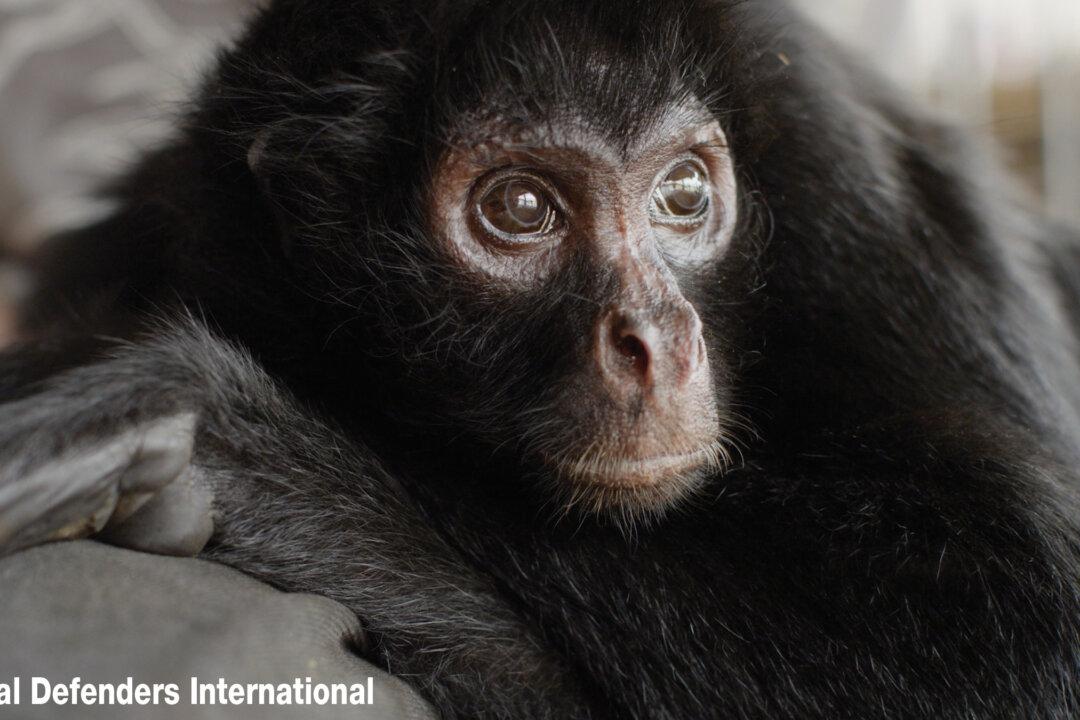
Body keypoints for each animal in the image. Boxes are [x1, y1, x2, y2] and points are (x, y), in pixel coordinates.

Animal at [1, 0, 1079, 718]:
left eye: (685, 193)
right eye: (520, 207)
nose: (657, 340)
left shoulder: (843, 174)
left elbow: (1023, 638)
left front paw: (231, 447)